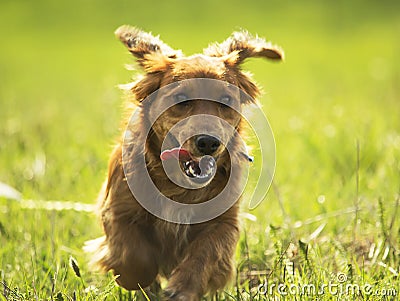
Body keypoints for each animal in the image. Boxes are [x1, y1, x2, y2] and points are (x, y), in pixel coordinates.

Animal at [86, 26, 282, 300]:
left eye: (226, 100)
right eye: (180, 97)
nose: (208, 142)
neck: (178, 186)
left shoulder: (224, 224)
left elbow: (205, 252)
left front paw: (182, 288)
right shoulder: (117, 211)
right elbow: (135, 257)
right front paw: (138, 280)